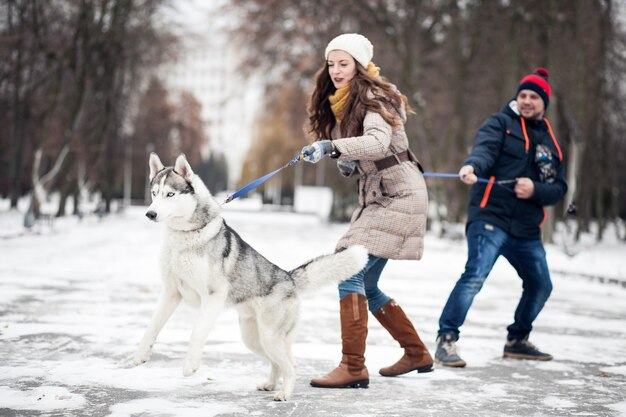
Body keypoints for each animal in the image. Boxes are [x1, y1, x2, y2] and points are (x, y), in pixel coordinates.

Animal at [132, 153, 366, 400]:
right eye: (154, 193)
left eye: (171, 194)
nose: (150, 213)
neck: (185, 237)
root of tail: (289, 278)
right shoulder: (171, 292)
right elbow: (152, 326)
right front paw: (140, 355)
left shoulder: (213, 296)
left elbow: (197, 333)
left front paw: (190, 365)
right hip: (254, 339)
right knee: (279, 363)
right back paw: (270, 384)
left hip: (269, 337)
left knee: (291, 366)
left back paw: (284, 393)